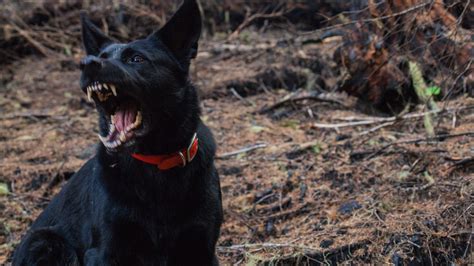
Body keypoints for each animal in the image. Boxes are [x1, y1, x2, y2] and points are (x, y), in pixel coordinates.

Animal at [12, 1, 224, 264]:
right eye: (101, 56)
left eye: (136, 58)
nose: (87, 63)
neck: (156, 163)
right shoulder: (104, 251)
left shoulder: (202, 248)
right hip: (46, 242)